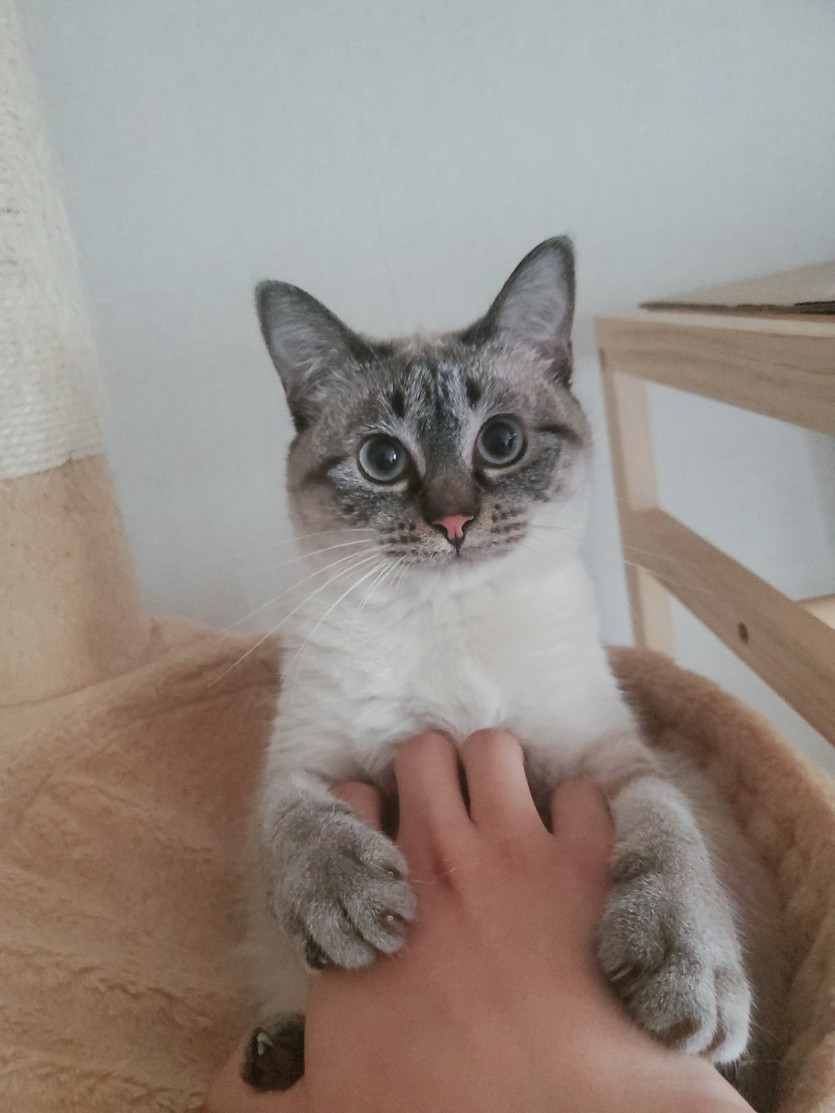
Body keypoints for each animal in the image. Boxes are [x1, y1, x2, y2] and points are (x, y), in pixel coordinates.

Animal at [241, 239, 784, 1106]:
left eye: (499, 443)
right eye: (382, 459)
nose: (453, 520)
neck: (450, 621)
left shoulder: (611, 759)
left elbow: (670, 835)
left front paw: (685, 975)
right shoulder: (304, 759)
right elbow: (294, 818)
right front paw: (348, 902)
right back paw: (277, 1052)